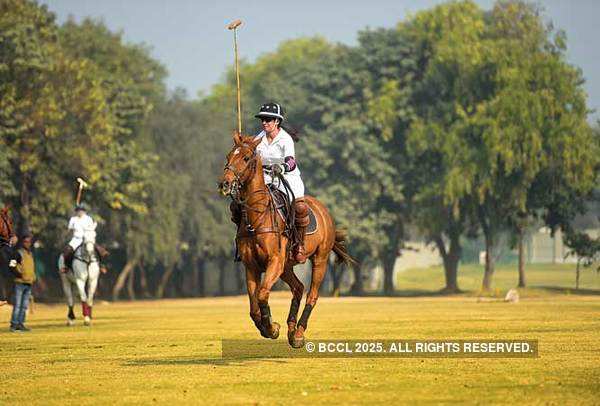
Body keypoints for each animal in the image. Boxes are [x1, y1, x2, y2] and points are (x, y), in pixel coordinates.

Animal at [219, 132, 356, 348]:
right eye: (228, 156)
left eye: (246, 158)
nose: (224, 184)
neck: (256, 218)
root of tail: (324, 210)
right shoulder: (251, 266)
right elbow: (253, 307)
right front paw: (268, 326)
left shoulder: (274, 260)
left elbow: (262, 294)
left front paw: (272, 328)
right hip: (286, 266)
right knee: (298, 288)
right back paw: (291, 330)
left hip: (320, 259)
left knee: (312, 294)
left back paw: (298, 333)